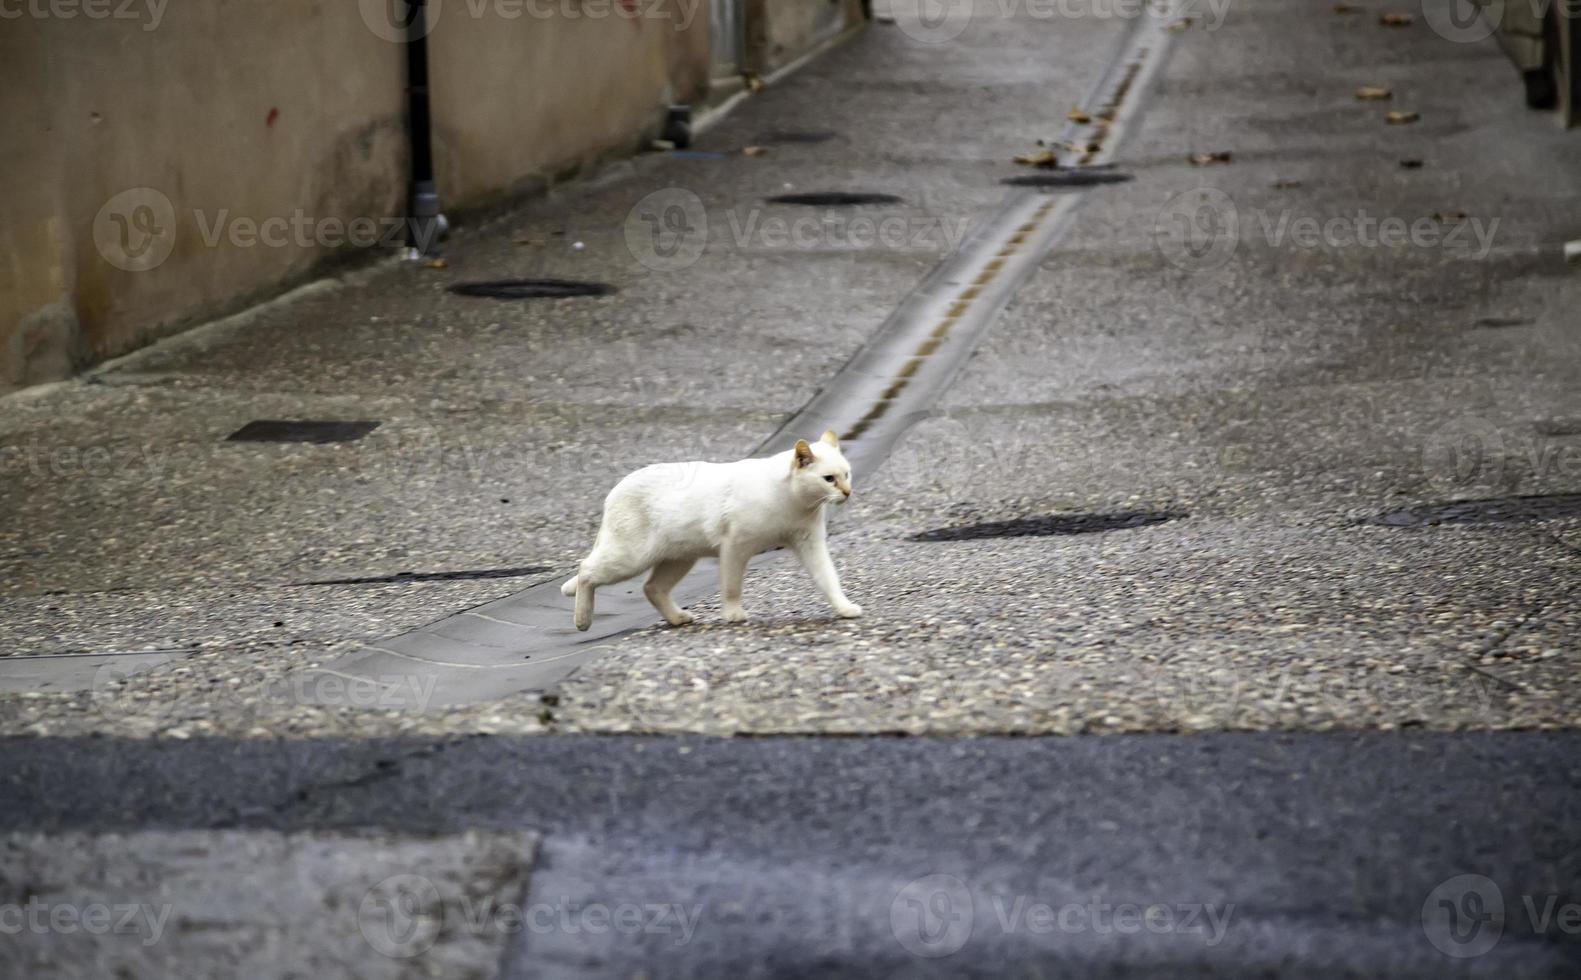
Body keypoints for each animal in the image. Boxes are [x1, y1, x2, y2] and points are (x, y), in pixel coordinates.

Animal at [562, 429, 866, 632]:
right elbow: (731, 587)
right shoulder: (735, 547)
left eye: (847, 474)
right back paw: (582, 620)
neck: (795, 503)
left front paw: (844, 607)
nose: (848, 492)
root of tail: (615, 490)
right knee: (586, 569)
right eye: (829, 479)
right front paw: (733, 614)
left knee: (651, 588)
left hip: (679, 558)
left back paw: (677, 618)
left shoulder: (811, 544)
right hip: (630, 558)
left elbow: (829, 580)